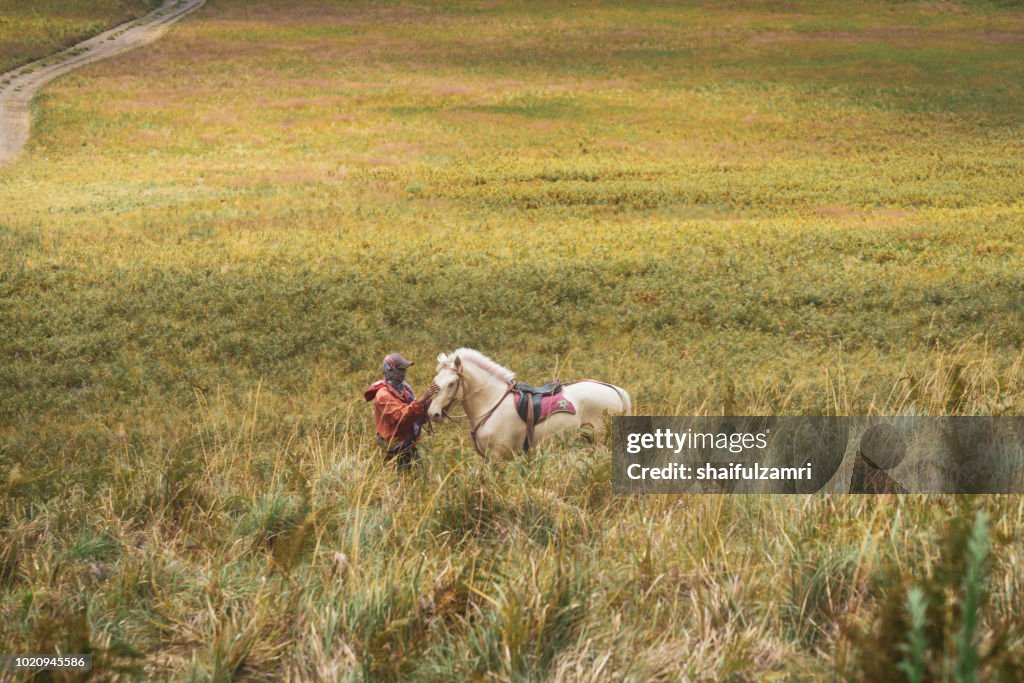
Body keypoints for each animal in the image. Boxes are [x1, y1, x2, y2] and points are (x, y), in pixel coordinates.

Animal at [425, 348, 630, 458]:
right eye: (436, 380)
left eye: (452, 384)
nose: (433, 413)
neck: (491, 403)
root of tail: (614, 390)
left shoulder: (496, 457)